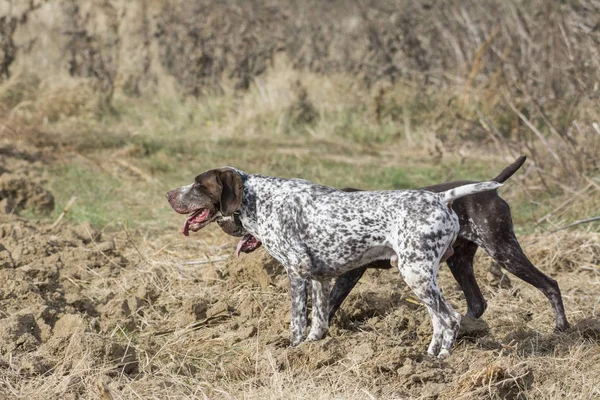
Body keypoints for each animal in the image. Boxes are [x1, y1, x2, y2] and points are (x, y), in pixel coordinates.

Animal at [168, 167, 502, 358]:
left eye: (199, 185)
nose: (169, 194)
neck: (261, 200)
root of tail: (442, 198)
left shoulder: (296, 272)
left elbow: (297, 322)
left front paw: (292, 352)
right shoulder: (319, 278)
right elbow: (319, 320)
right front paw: (314, 349)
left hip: (416, 274)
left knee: (451, 318)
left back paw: (441, 360)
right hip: (421, 277)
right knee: (439, 320)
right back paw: (427, 357)